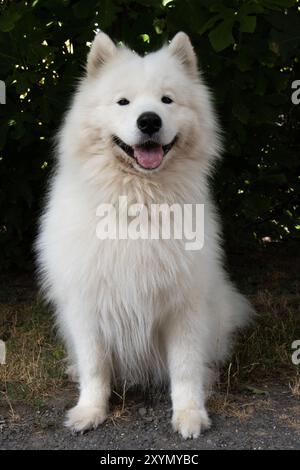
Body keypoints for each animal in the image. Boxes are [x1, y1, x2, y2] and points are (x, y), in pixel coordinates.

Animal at [35, 32, 253, 436]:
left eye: (167, 100)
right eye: (123, 101)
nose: (149, 120)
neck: (139, 203)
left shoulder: (184, 306)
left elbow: (185, 369)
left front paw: (189, 414)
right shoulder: (87, 306)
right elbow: (95, 367)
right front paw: (90, 411)